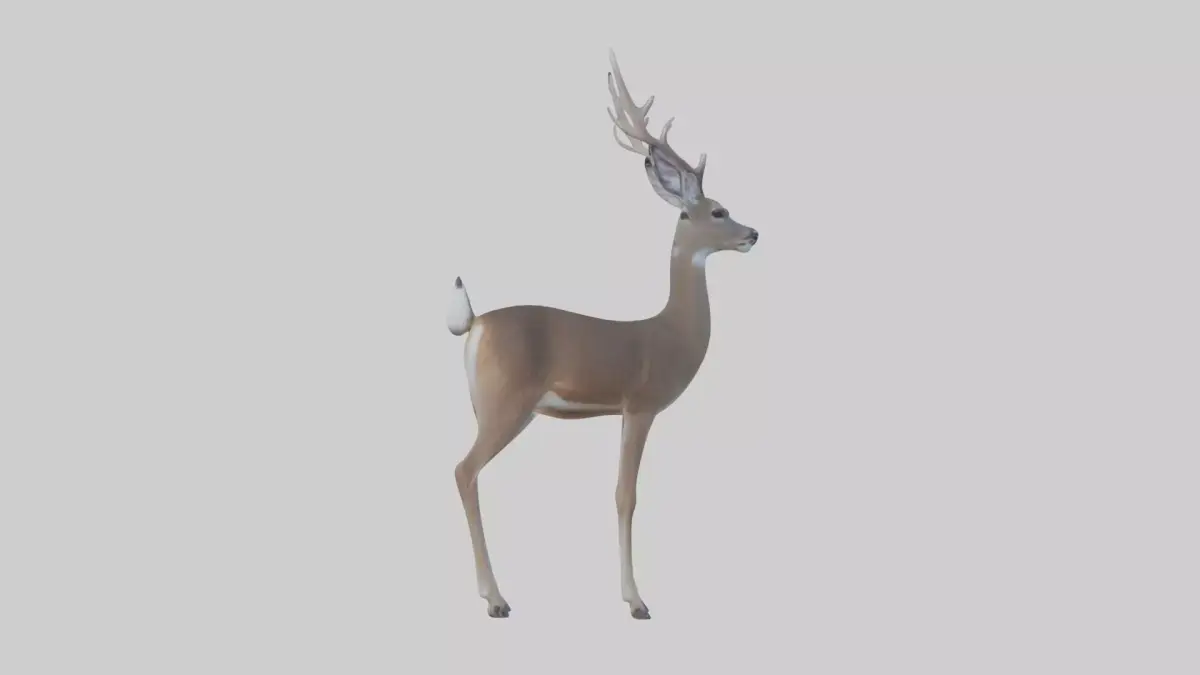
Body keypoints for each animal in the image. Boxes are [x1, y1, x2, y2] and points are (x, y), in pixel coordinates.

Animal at [445, 49, 759, 620]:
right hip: (506, 402)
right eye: (717, 209)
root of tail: (475, 324)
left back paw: (491, 592)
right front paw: (636, 601)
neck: (670, 333)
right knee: (463, 469)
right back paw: (496, 599)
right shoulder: (641, 403)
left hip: (491, 407)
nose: (753, 233)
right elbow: (624, 494)